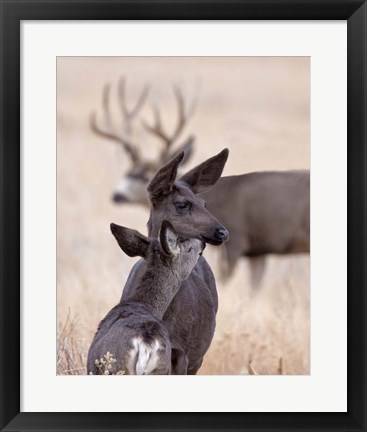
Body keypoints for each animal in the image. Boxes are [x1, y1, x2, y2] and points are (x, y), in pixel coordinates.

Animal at [87, 219, 206, 374]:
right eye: (189, 248)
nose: (203, 242)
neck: (141, 303)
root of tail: (146, 344)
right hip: (162, 368)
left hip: (116, 367)